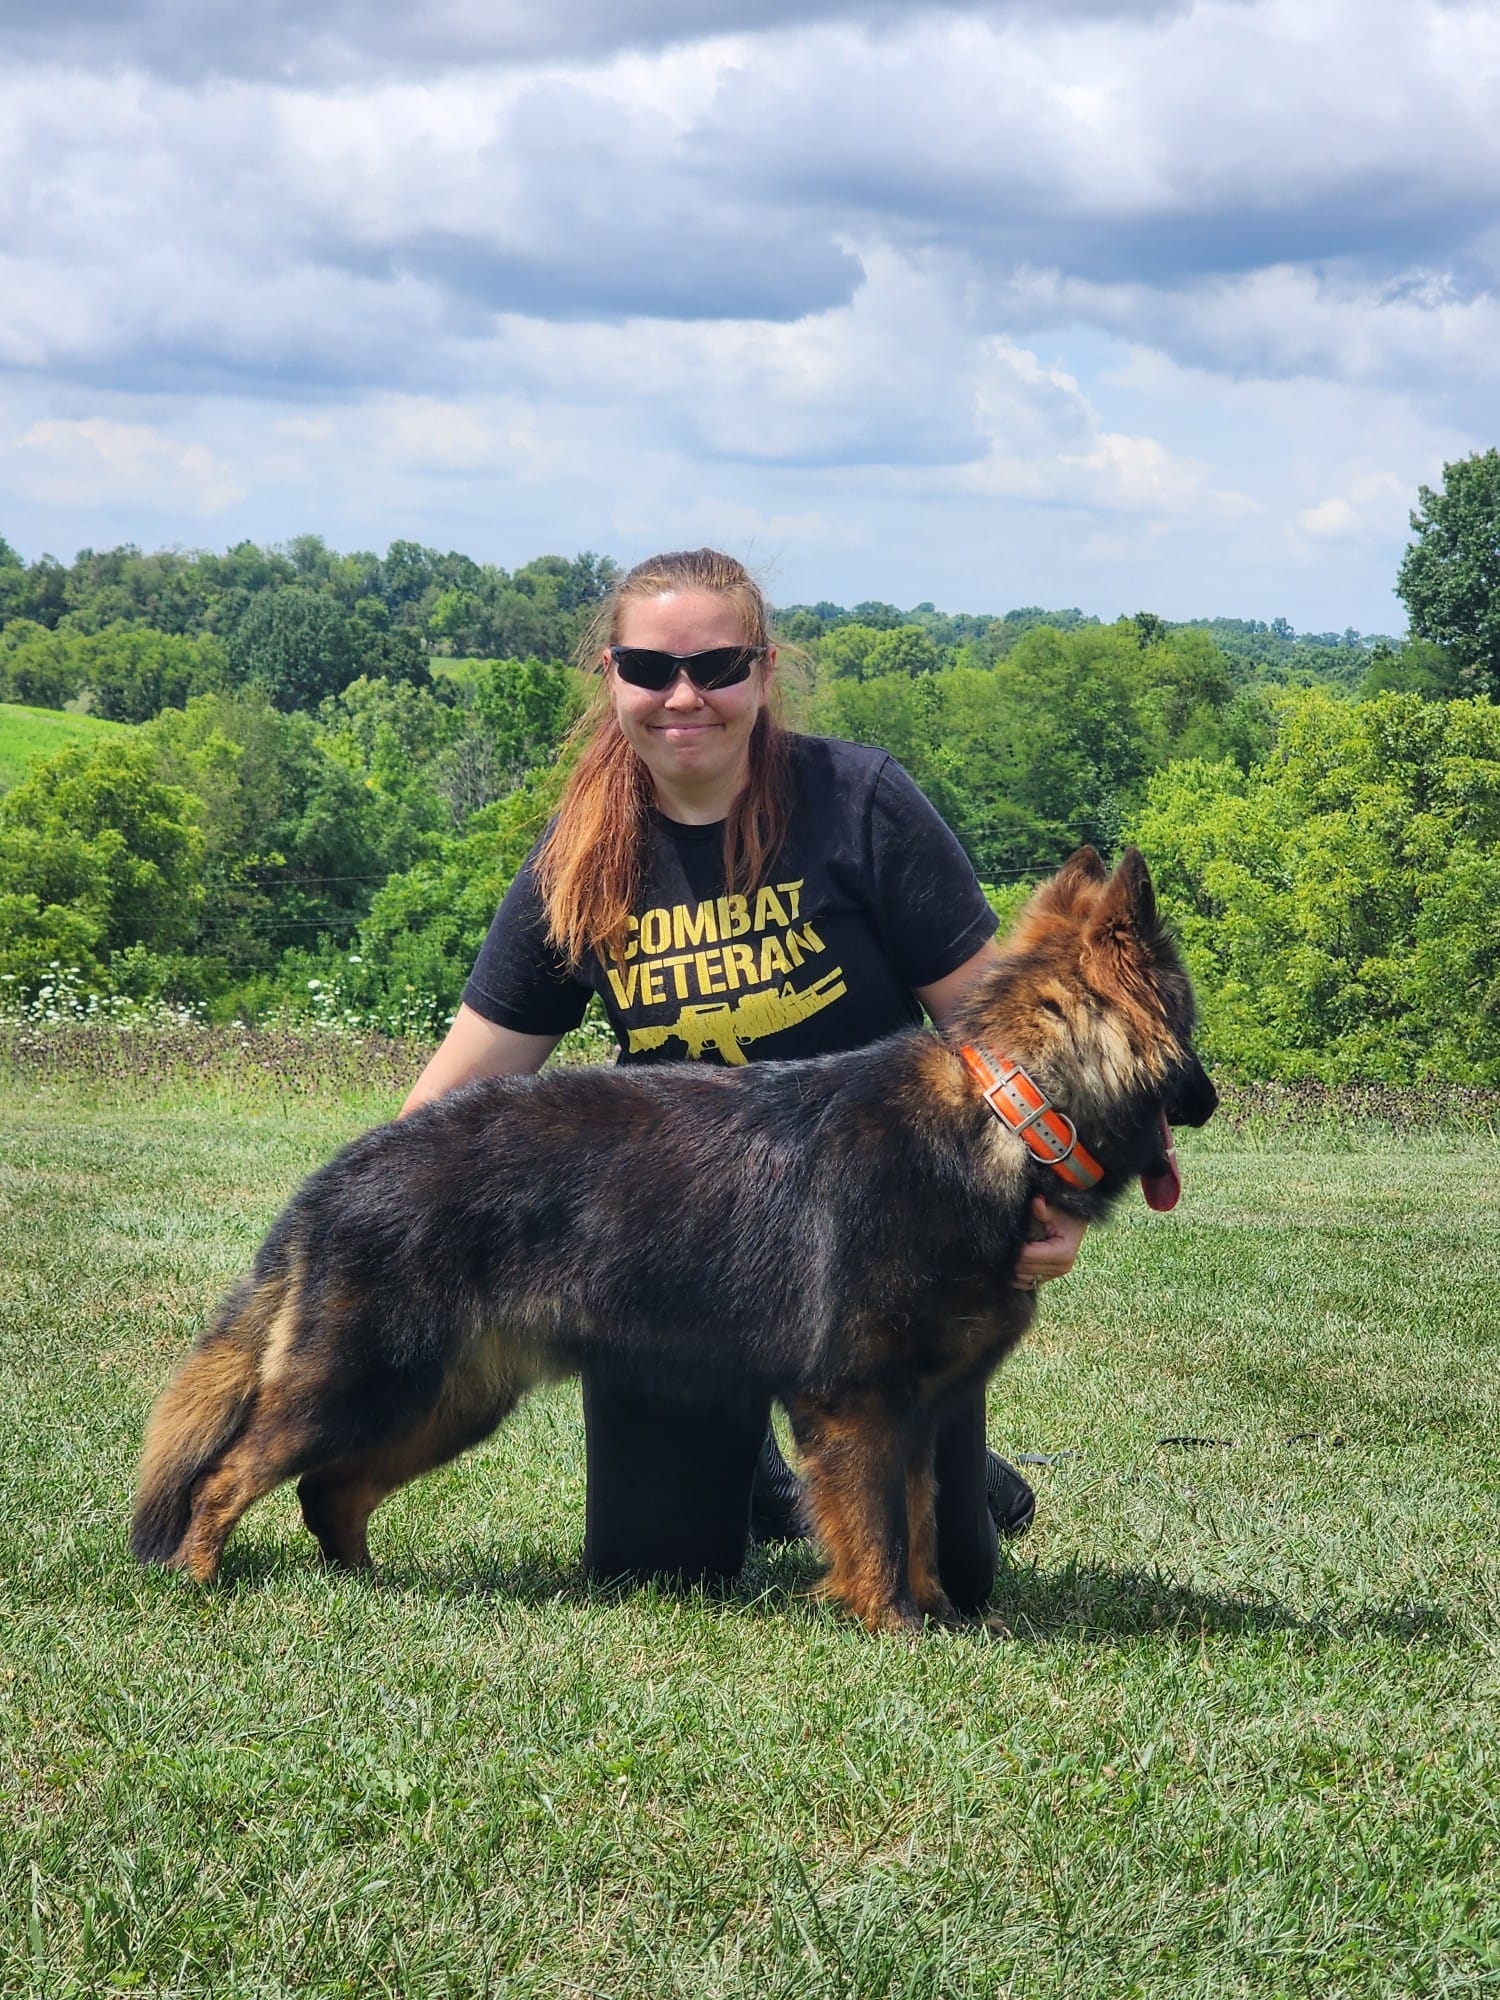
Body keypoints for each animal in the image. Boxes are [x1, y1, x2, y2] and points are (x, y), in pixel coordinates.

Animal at [132, 852, 1224, 1632]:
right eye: (1191, 1027)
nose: (1212, 1099)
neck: (1009, 1106)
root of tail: (339, 1172)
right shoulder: (859, 1402)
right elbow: (875, 1529)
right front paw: (893, 1627)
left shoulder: (911, 1413)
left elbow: (916, 1523)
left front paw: (940, 1615)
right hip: (366, 1383)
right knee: (229, 1474)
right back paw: (198, 1578)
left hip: (448, 1399)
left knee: (330, 1491)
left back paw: (367, 1584)